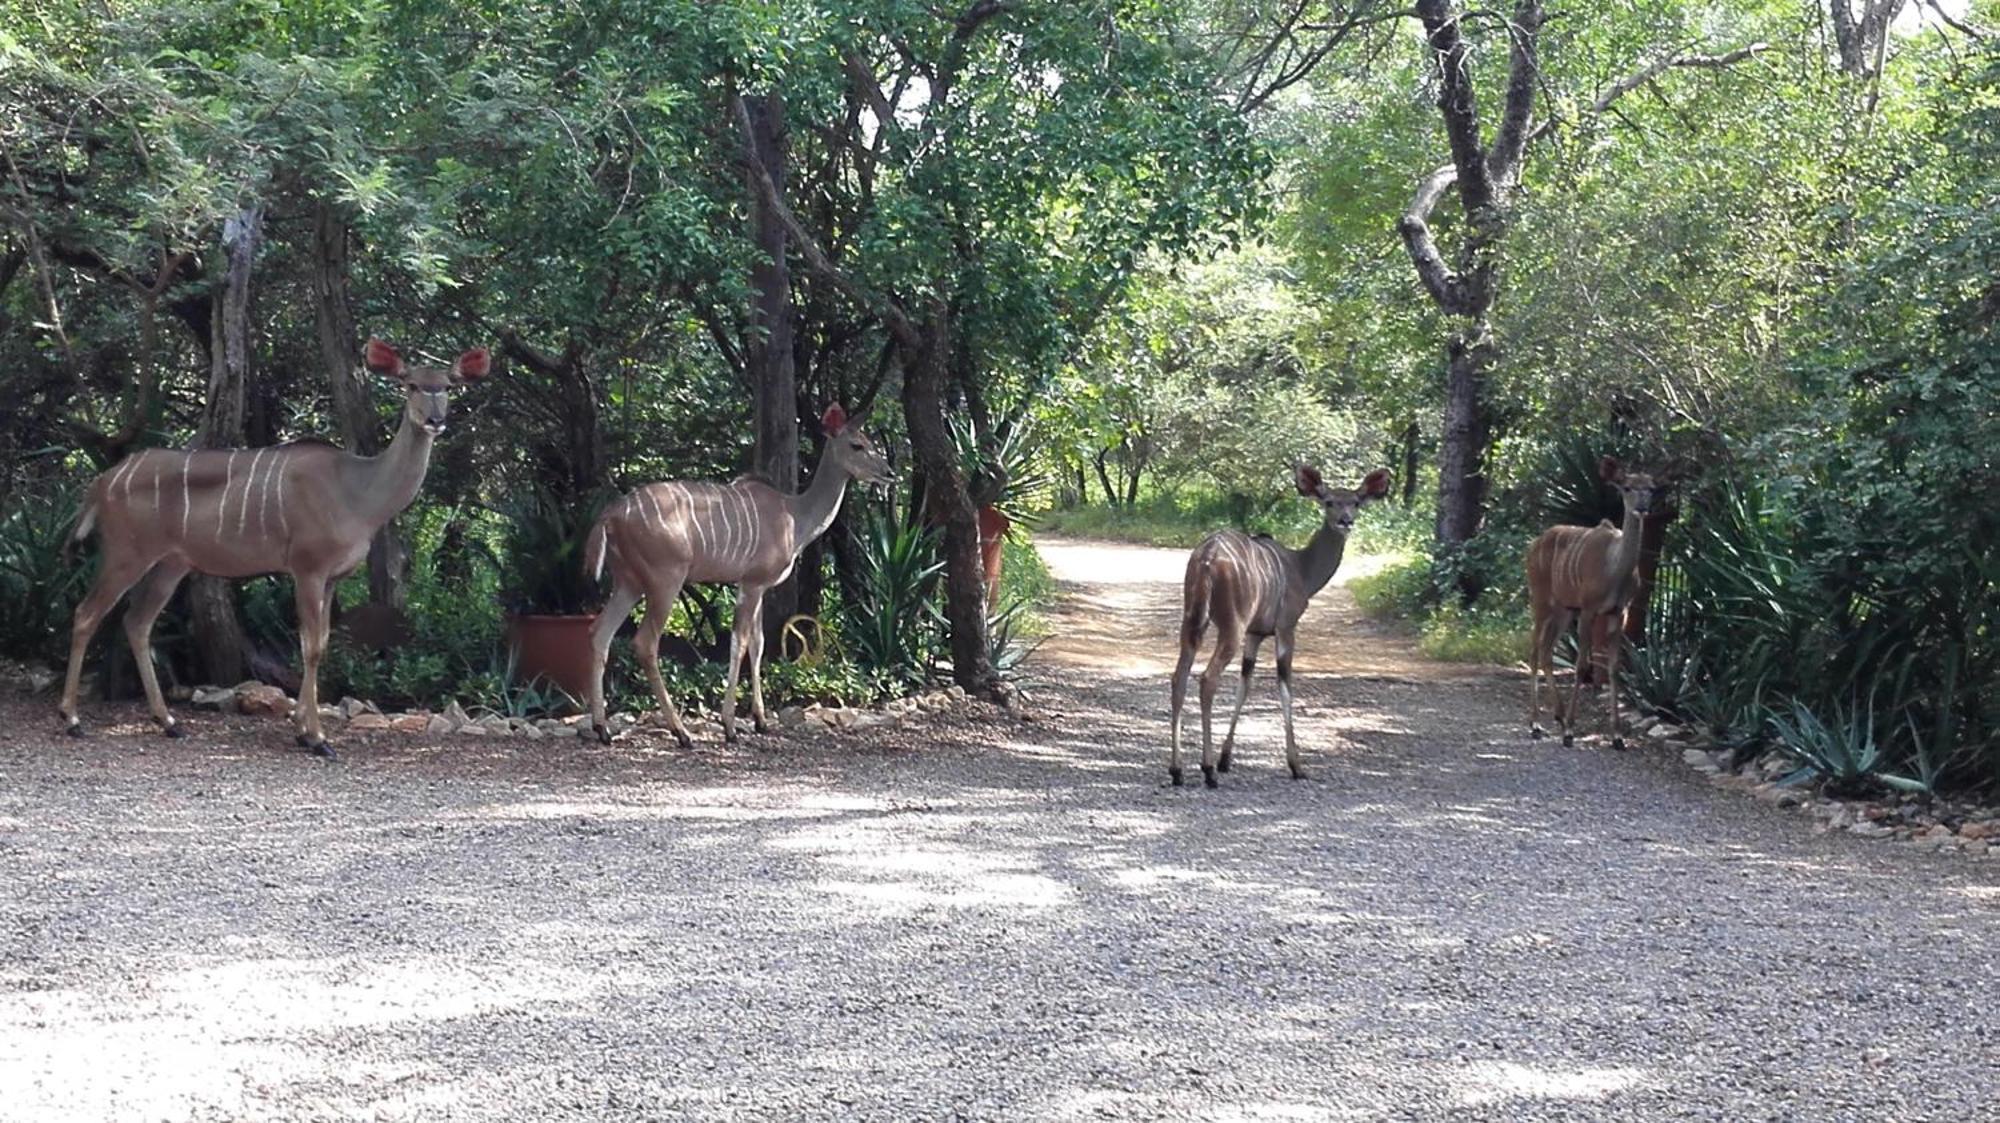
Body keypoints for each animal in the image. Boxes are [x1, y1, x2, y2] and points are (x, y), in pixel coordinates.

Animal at [63, 333, 488, 751]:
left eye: (449, 385)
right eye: (411, 384)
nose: (435, 420)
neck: (359, 493)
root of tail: (101, 483)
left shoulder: (333, 577)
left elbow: (319, 642)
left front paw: (303, 729)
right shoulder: (307, 568)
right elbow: (311, 648)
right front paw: (316, 738)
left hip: (171, 564)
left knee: (137, 622)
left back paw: (168, 721)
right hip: (126, 554)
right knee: (86, 613)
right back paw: (72, 719)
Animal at [580, 401, 892, 743]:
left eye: (871, 442)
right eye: (857, 445)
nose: (889, 473)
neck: (795, 518)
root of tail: (609, 517)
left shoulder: (757, 586)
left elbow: (758, 644)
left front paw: (761, 720)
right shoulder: (752, 583)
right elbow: (739, 643)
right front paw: (729, 725)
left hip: (628, 582)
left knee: (599, 632)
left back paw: (602, 728)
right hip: (665, 580)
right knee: (644, 642)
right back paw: (681, 732)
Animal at [1168, 463, 1392, 787]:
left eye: (1356, 502)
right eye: (1329, 502)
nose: (1345, 521)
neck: (1302, 570)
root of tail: (1208, 559)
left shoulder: (1256, 633)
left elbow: (1245, 684)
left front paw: (1226, 759)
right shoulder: (1286, 626)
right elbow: (1285, 685)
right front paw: (1296, 765)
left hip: (1194, 620)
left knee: (1179, 677)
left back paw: (1178, 770)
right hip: (1231, 625)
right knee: (1207, 679)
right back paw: (1207, 771)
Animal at [1520, 449, 1664, 747]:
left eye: (1651, 488)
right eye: (1627, 487)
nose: (1642, 508)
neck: (1614, 570)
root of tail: (1533, 544)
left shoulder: (1618, 611)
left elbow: (1613, 668)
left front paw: (1618, 737)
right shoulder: (1588, 609)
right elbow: (1581, 665)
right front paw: (1570, 732)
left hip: (1564, 609)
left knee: (1548, 651)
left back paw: (1557, 716)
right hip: (1540, 599)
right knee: (1535, 650)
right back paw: (1537, 724)